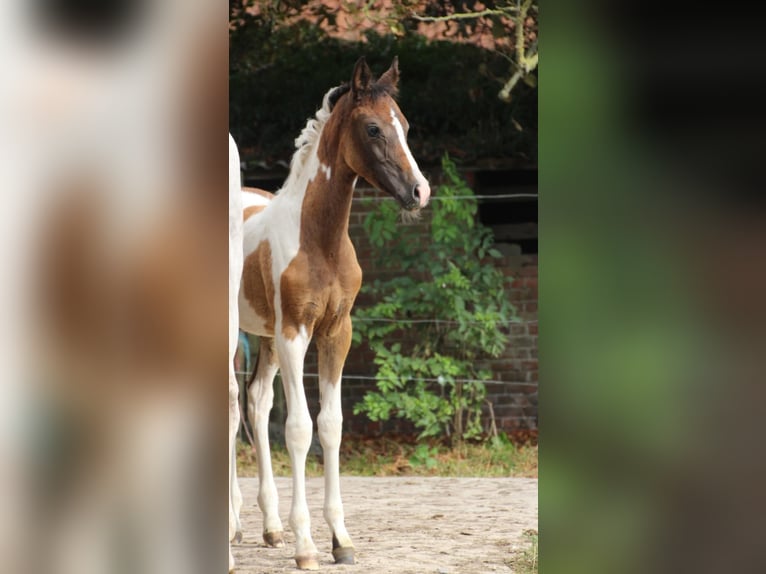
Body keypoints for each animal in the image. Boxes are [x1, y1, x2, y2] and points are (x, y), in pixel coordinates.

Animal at [236, 56, 430, 571]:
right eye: (373, 128)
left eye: (405, 125)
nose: (419, 192)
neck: (318, 240)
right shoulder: (294, 335)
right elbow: (300, 429)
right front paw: (306, 546)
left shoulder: (336, 333)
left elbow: (331, 426)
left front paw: (340, 539)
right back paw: (236, 525)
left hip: (262, 337)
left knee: (256, 403)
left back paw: (270, 527)